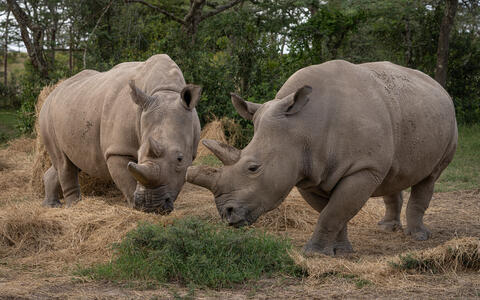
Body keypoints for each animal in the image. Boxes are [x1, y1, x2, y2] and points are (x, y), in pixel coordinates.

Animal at [39, 54, 201, 213]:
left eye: (180, 159)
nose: (151, 206)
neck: (166, 91)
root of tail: (50, 94)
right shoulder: (117, 150)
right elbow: (128, 182)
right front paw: (137, 208)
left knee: (68, 162)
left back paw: (51, 205)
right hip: (47, 115)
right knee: (64, 164)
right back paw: (74, 207)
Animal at [187, 59, 458, 255]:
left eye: (253, 168)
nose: (227, 214)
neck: (301, 126)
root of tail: (438, 86)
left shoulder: (362, 168)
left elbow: (334, 212)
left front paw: (314, 253)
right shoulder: (307, 172)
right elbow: (332, 212)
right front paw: (340, 251)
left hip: (449, 120)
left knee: (430, 177)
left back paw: (417, 237)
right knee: (392, 174)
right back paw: (386, 229)